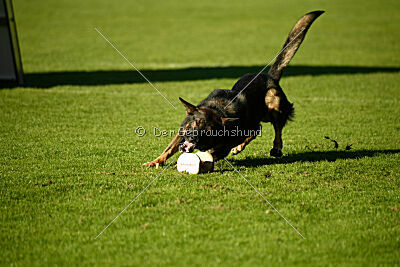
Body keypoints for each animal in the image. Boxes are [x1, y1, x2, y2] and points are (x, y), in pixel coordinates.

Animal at [142, 11, 324, 169]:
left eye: (209, 132)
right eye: (195, 123)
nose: (193, 137)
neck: (218, 110)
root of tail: (269, 76)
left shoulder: (223, 145)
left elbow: (212, 153)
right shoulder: (181, 133)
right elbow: (168, 148)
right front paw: (156, 161)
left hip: (273, 103)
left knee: (275, 128)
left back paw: (276, 148)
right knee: (258, 128)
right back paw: (241, 147)